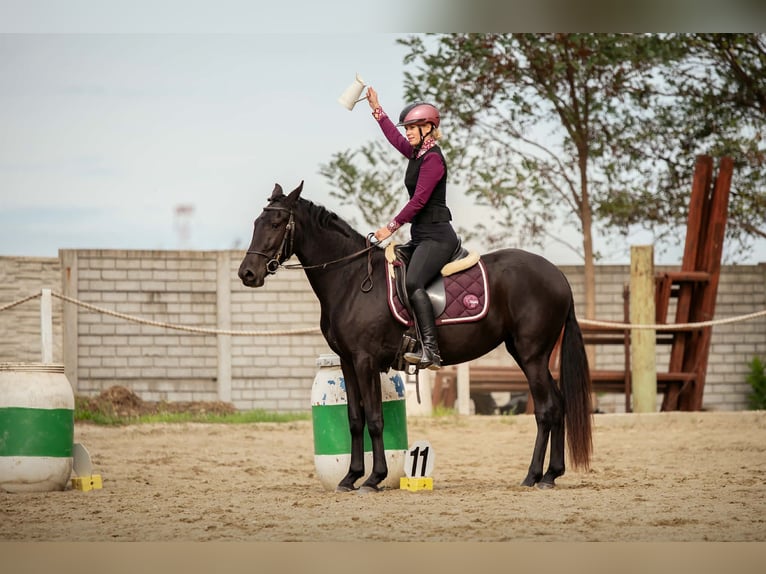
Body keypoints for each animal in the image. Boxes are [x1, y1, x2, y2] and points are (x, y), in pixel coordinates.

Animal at [238, 181, 593, 492]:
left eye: (277, 222)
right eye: (256, 221)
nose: (247, 273)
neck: (352, 279)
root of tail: (557, 274)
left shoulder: (365, 360)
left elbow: (375, 419)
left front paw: (373, 479)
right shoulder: (347, 362)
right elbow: (354, 419)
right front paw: (350, 478)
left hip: (532, 355)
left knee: (547, 409)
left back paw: (535, 476)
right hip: (526, 353)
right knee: (558, 404)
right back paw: (552, 473)